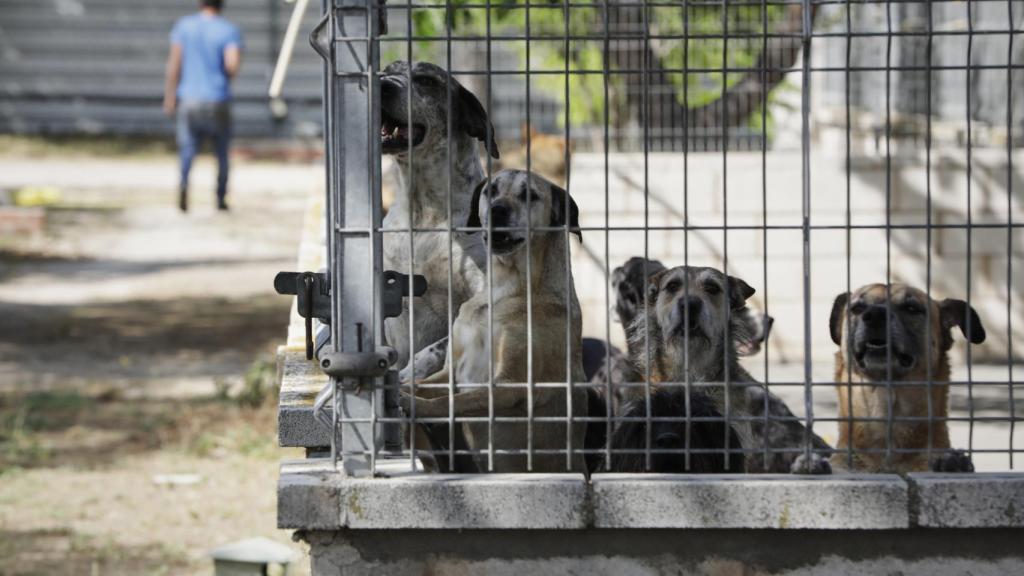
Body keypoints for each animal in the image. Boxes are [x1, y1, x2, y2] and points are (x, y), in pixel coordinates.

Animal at [403, 167, 589, 471]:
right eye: (491, 190)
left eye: (530, 195)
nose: (497, 210)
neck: (504, 290)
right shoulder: (450, 372)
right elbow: (424, 386)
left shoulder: (509, 385)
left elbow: (450, 402)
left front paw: (412, 404)